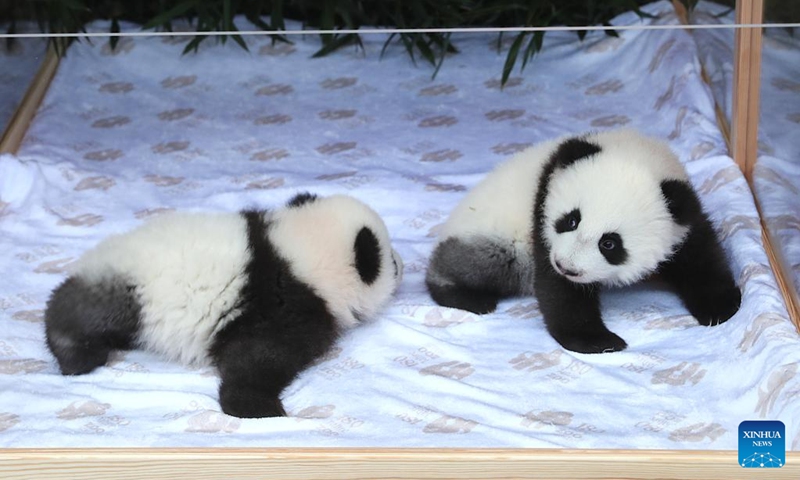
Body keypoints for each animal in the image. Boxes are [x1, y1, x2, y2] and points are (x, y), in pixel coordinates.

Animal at [45, 193, 403, 418]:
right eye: (390, 261)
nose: (402, 265)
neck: (298, 251)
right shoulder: (282, 308)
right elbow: (258, 358)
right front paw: (256, 407)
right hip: (129, 291)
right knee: (79, 313)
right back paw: (76, 355)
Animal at [426, 129, 741, 354]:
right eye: (571, 220)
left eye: (609, 244)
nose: (566, 266)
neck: (634, 150)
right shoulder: (541, 214)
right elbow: (559, 289)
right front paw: (598, 341)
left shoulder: (682, 216)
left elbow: (699, 256)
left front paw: (719, 308)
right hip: (496, 236)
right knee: (484, 262)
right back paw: (465, 295)